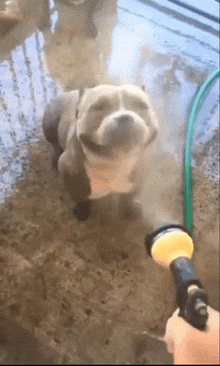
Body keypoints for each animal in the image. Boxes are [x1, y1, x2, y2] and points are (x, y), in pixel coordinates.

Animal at [42, 84, 158, 220]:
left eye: (141, 105)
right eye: (99, 107)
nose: (124, 117)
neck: (112, 162)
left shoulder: (140, 170)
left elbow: (131, 194)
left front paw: (130, 206)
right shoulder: (69, 171)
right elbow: (80, 195)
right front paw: (82, 209)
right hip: (50, 122)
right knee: (54, 143)